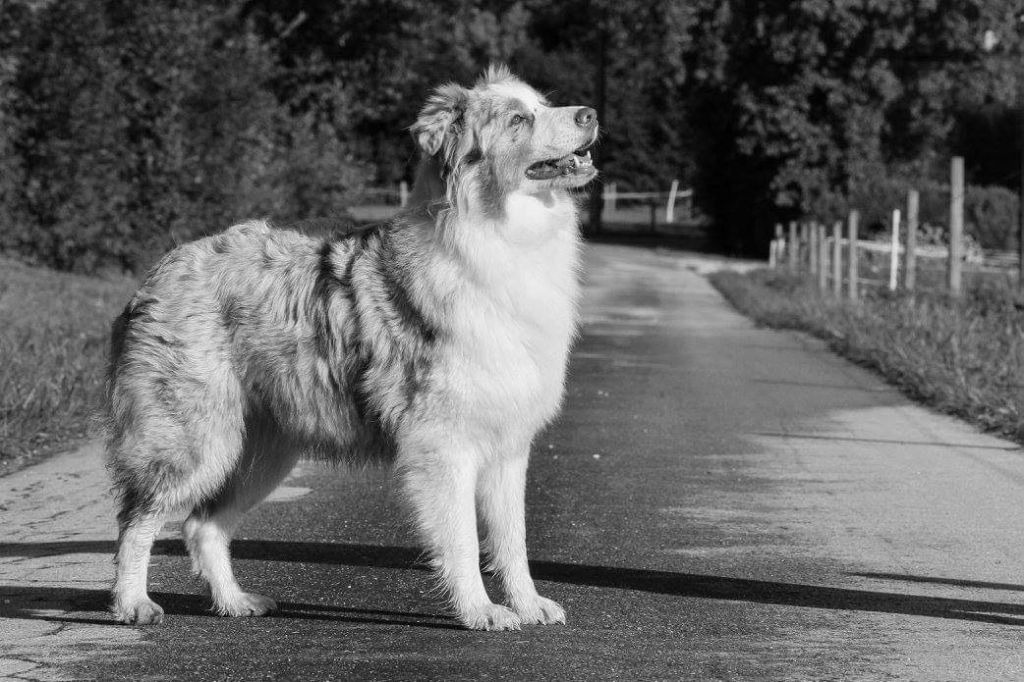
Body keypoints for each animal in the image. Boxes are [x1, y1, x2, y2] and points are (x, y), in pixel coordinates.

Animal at [103, 63, 598, 626]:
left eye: (544, 103)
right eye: (518, 119)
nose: (591, 114)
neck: (502, 235)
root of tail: (160, 270)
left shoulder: (509, 445)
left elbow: (513, 539)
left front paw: (528, 604)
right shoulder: (444, 444)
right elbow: (464, 542)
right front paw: (480, 611)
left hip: (261, 451)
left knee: (202, 525)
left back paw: (234, 602)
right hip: (193, 441)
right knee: (136, 520)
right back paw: (133, 603)